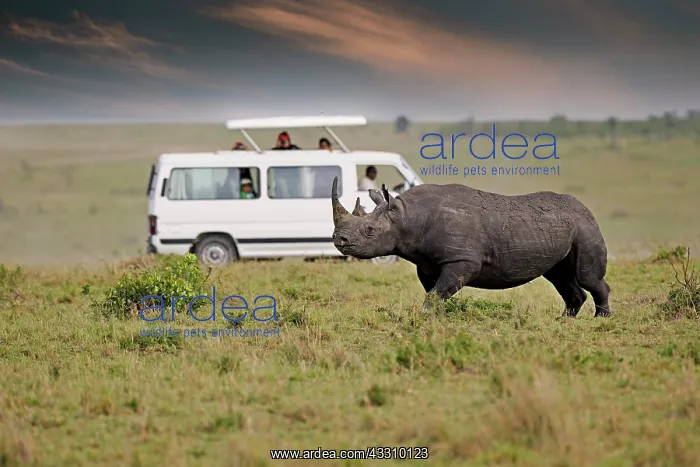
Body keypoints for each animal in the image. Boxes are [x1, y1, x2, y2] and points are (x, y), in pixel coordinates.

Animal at [331, 177, 611, 317]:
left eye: (369, 230)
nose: (338, 240)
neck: (406, 217)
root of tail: (586, 209)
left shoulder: (462, 260)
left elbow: (437, 293)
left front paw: (422, 319)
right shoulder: (427, 263)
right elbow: (434, 292)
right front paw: (436, 320)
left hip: (585, 227)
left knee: (586, 277)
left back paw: (600, 321)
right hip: (561, 229)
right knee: (560, 275)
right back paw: (563, 321)